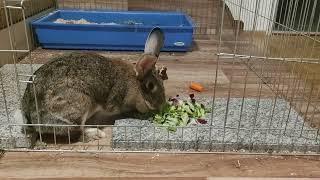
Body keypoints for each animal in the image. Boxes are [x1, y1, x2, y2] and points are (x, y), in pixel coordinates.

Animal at [20, 27, 169, 142]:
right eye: (151, 86)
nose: (161, 105)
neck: (134, 83)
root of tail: (32, 117)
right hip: (80, 104)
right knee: (75, 133)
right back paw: (96, 134)